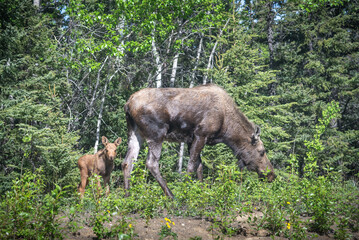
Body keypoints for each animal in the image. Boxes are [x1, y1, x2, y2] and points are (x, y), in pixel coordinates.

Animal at [122, 84, 278, 199]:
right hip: (156, 134)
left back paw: (128, 195)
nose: (271, 175)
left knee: (127, 162)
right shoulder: (201, 134)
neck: (227, 128)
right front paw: (185, 192)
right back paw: (171, 195)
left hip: (134, 133)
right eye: (262, 151)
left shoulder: (191, 140)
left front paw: (201, 192)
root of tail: (128, 104)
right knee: (151, 163)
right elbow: (191, 166)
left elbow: (199, 167)